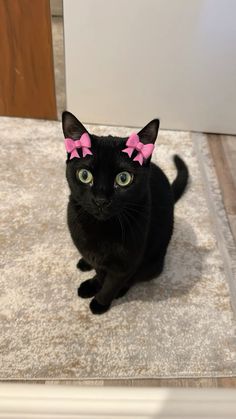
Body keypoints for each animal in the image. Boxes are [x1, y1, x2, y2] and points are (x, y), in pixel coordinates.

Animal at [62, 111, 188, 316]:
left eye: (123, 178)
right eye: (84, 175)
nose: (100, 200)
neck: (101, 230)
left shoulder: (125, 265)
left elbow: (110, 284)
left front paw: (100, 302)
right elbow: (100, 272)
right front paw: (92, 284)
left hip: (153, 263)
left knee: (136, 277)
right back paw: (84, 262)